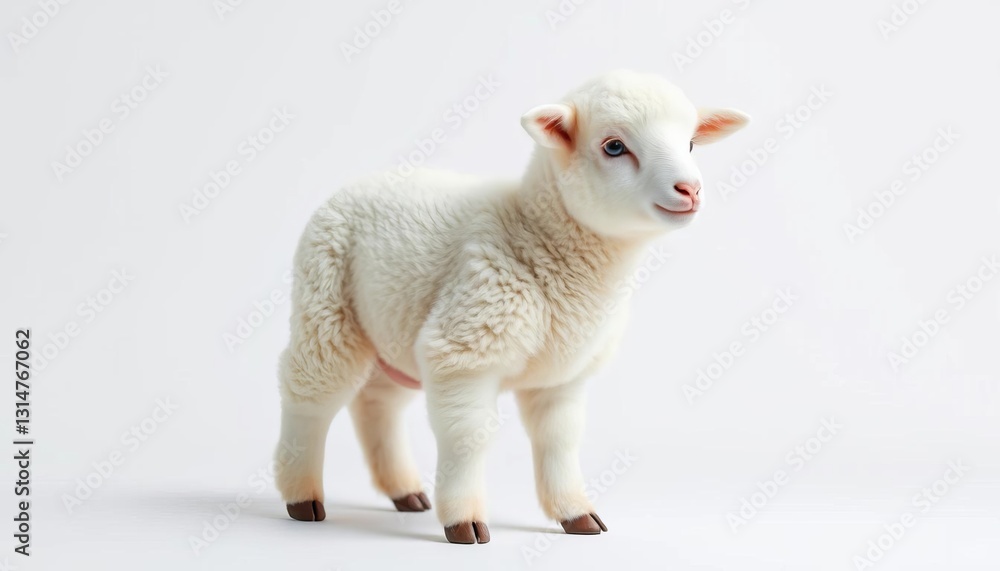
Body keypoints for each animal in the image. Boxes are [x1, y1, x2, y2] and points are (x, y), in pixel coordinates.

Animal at [273, 70, 749, 544]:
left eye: (691, 143)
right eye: (614, 146)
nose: (690, 189)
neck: (534, 233)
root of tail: (358, 183)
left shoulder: (562, 376)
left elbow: (559, 439)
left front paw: (576, 514)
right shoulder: (463, 350)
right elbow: (468, 436)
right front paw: (463, 521)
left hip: (392, 331)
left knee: (377, 404)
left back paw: (404, 491)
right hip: (326, 302)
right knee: (310, 395)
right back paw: (301, 496)